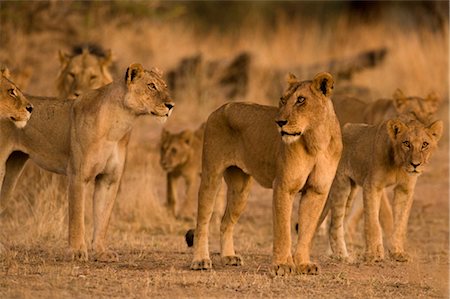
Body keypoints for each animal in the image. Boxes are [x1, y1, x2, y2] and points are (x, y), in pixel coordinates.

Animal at [0, 63, 174, 262]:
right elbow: (77, 216)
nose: (171, 105)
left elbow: (103, 217)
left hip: (13, 170)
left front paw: (101, 251)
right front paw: (77, 251)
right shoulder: (77, 175)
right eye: (151, 86)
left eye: (165, 86)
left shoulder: (109, 179)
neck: (119, 126)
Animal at [190, 71, 342, 276]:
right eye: (282, 100)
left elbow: (307, 231)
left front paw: (304, 264)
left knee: (225, 221)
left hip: (240, 191)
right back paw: (200, 260)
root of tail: (220, 108)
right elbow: (283, 230)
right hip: (211, 175)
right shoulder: (284, 186)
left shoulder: (317, 191)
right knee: (203, 221)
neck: (315, 140)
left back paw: (229, 257)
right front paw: (282, 265)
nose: (280, 122)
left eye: (301, 100)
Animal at [320, 113, 442, 264]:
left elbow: (400, 224)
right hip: (341, 184)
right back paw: (343, 257)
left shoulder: (405, 189)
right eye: (406, 143)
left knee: (341, 221)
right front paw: (374, 255)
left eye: (425, 144)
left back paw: (334, 254)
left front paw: (397, 253)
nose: (415, 165)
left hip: (352, 189)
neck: (398, 164)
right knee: (334, 224)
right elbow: (373, 222)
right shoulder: (372, 185)